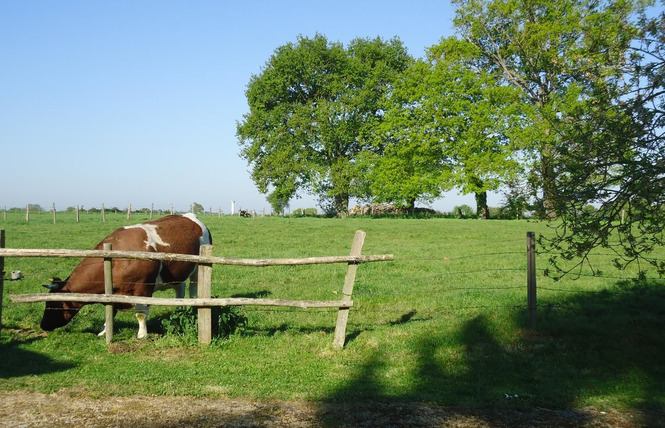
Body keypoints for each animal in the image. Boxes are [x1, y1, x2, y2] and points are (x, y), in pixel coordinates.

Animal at [40, 213, 211, 338]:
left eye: (52, 304)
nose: (43, 325)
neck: (115, 260)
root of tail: (190, 216)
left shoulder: (143, 288)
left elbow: (140, 314)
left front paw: (142, 334)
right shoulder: (112, 293)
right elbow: (111, 312)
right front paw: (104, 331)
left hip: (197, 268)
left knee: (194, 291)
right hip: (177, 271)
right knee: (180, 288)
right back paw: (178, 309)